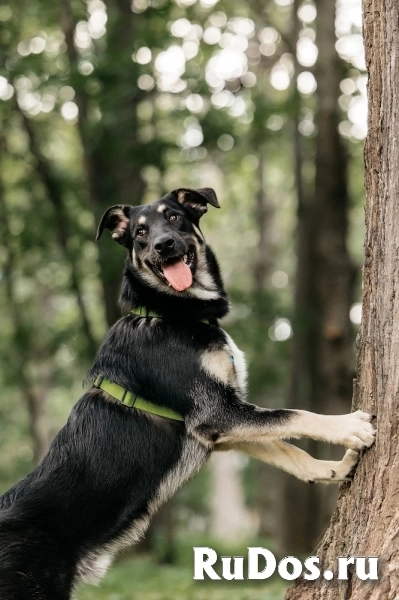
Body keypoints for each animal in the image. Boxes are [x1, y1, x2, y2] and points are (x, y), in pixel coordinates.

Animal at [0, 185, 376, 596]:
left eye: (175, 217)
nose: (164, 245)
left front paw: (334, 468)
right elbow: (294, 415)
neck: (170, 313)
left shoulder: (218, 427)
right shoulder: (218, 413)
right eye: (140, 232)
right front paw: (349, 428)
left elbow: (289, 452)